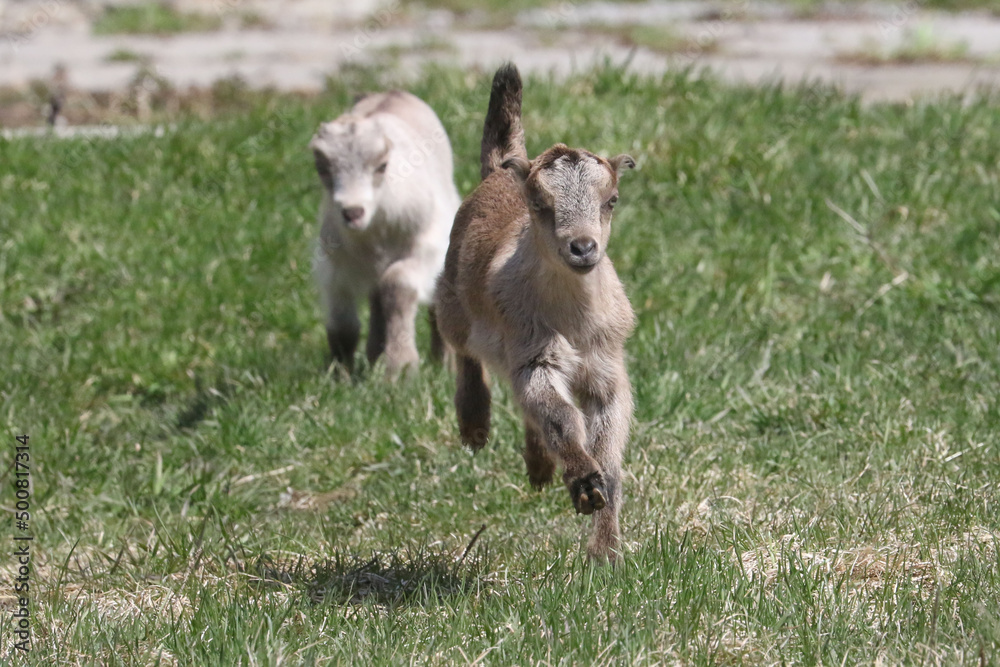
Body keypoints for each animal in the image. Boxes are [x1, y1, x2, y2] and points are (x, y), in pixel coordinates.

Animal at [435, 63, 636, 561]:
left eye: (611, 200)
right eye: (540, 205)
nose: (583, 248)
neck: (573, 316)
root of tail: (500, 170)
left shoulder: (608, 367)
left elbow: (608, 445)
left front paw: (605, 548)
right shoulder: (533, 354)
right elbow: (562, 417)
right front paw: (584, 483)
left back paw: (540, 467)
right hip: (454, 303)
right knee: (464, 351)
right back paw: (475, 425)